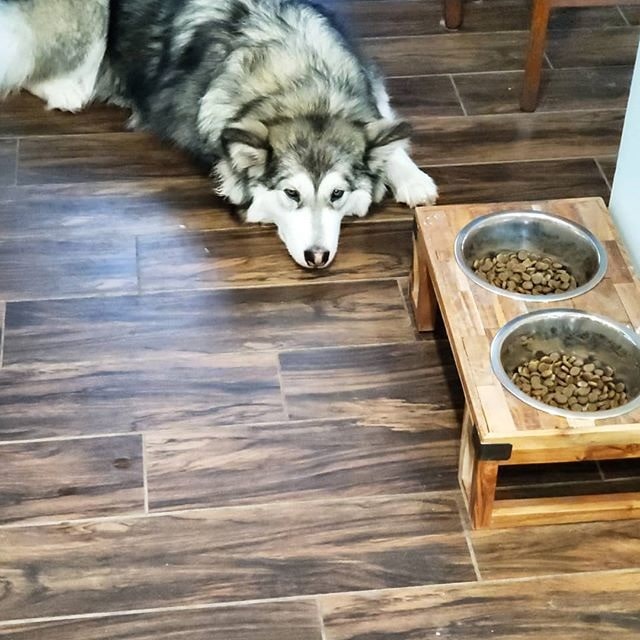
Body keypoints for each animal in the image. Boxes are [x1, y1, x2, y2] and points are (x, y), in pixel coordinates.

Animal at [0, 0, 438, 268]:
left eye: (337, 194)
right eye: (291, 194)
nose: (317, 256)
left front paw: (412, 177)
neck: (301, 85)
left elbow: (388, 128)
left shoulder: (368, 85)